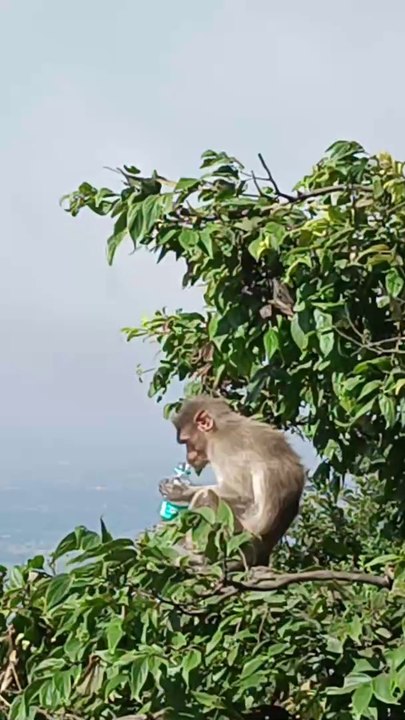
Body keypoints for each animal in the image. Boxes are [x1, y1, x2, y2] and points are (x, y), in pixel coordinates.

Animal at [159, 395, 306, 567]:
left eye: (186, 442)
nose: (189, 457)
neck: (219, 429)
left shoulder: (223, 448)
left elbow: (242, 493)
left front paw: (179, 491)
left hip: (237, 543)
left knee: (206, 496)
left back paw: (199, 557)